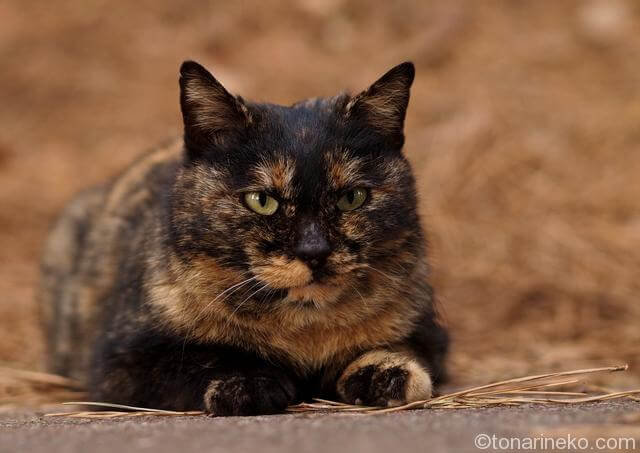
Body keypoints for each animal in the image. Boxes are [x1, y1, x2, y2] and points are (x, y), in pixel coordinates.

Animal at [38, 61, 450, 416]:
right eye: (261, 200)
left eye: (352, 197)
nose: (314, 250)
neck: (303, 329)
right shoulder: (121, 362)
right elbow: (199, 357)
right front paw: (250, 384)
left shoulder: (428, 331)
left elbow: (399, 346)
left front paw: (387, 373)